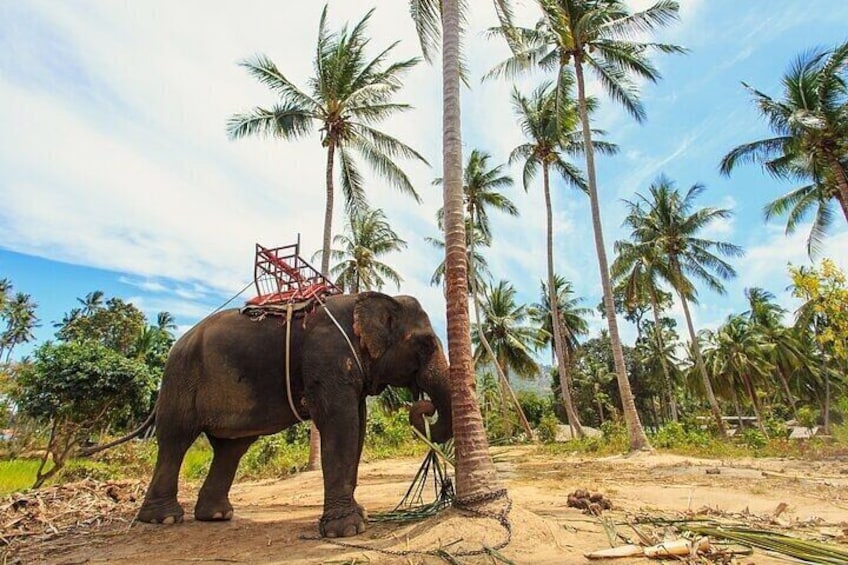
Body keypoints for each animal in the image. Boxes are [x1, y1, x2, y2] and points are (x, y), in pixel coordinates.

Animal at [132, 294, 454, 536]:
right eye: (426, 344)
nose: (424, 407)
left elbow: (358, 427)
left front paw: (358, 517)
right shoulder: (327, 359)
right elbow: (340, 425)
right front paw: (347, 530)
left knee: (231, 449)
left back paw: (216, 515)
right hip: (181, 380)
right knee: (176, 439)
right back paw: (164, 519)